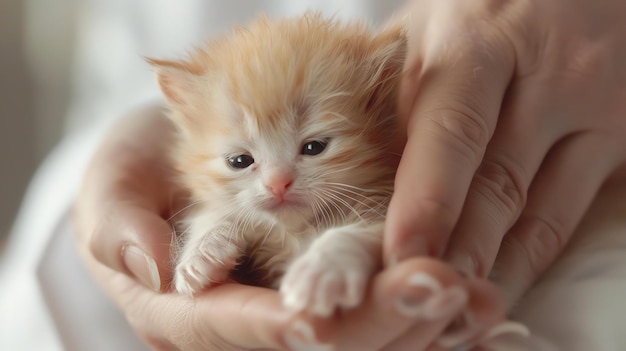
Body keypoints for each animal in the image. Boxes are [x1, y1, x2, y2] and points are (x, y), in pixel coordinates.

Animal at [150, 13, 404, 316]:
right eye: (240, 161)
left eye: (314, 147)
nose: (278, 183)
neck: (294, 232)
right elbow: (217, 211)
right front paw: (200, 253)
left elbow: (363, 232)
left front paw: (320, 271)